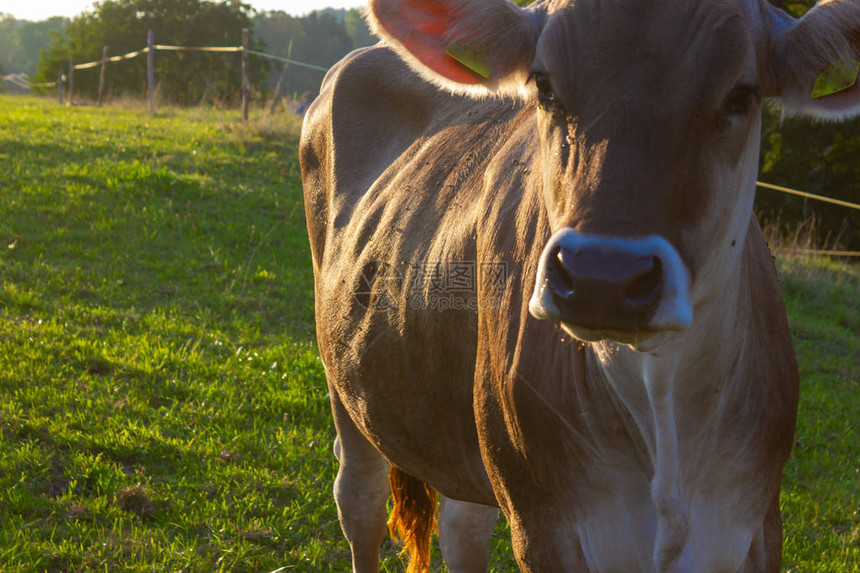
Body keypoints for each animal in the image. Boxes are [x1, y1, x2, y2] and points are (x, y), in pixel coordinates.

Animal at [298, 0, 860, 568]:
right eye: (544, 85)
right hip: (344, 376)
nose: (602, 276)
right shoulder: (544, 523)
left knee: (463, 526)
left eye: (741, 95)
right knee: (360, 500)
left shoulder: (757, 523)